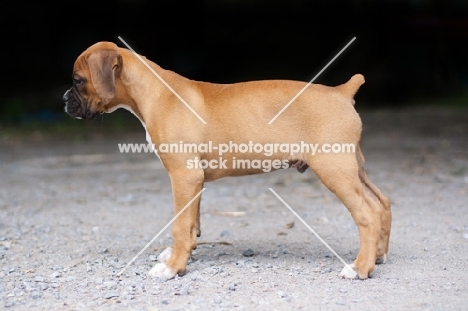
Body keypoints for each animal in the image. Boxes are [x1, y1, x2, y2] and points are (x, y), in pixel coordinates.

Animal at [62, 40, 392, 280]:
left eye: (78, 81)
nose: (64, 101)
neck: (155, 92)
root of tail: (342, 92)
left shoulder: (183, 176)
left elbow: (180, 224)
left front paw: (172, 268)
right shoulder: (194, 180)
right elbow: (192, 222)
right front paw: (181, 254)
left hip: (334, 169)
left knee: (366, 213)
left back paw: (359, 268)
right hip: (354, 168)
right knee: (382, 203)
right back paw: (378, 255)